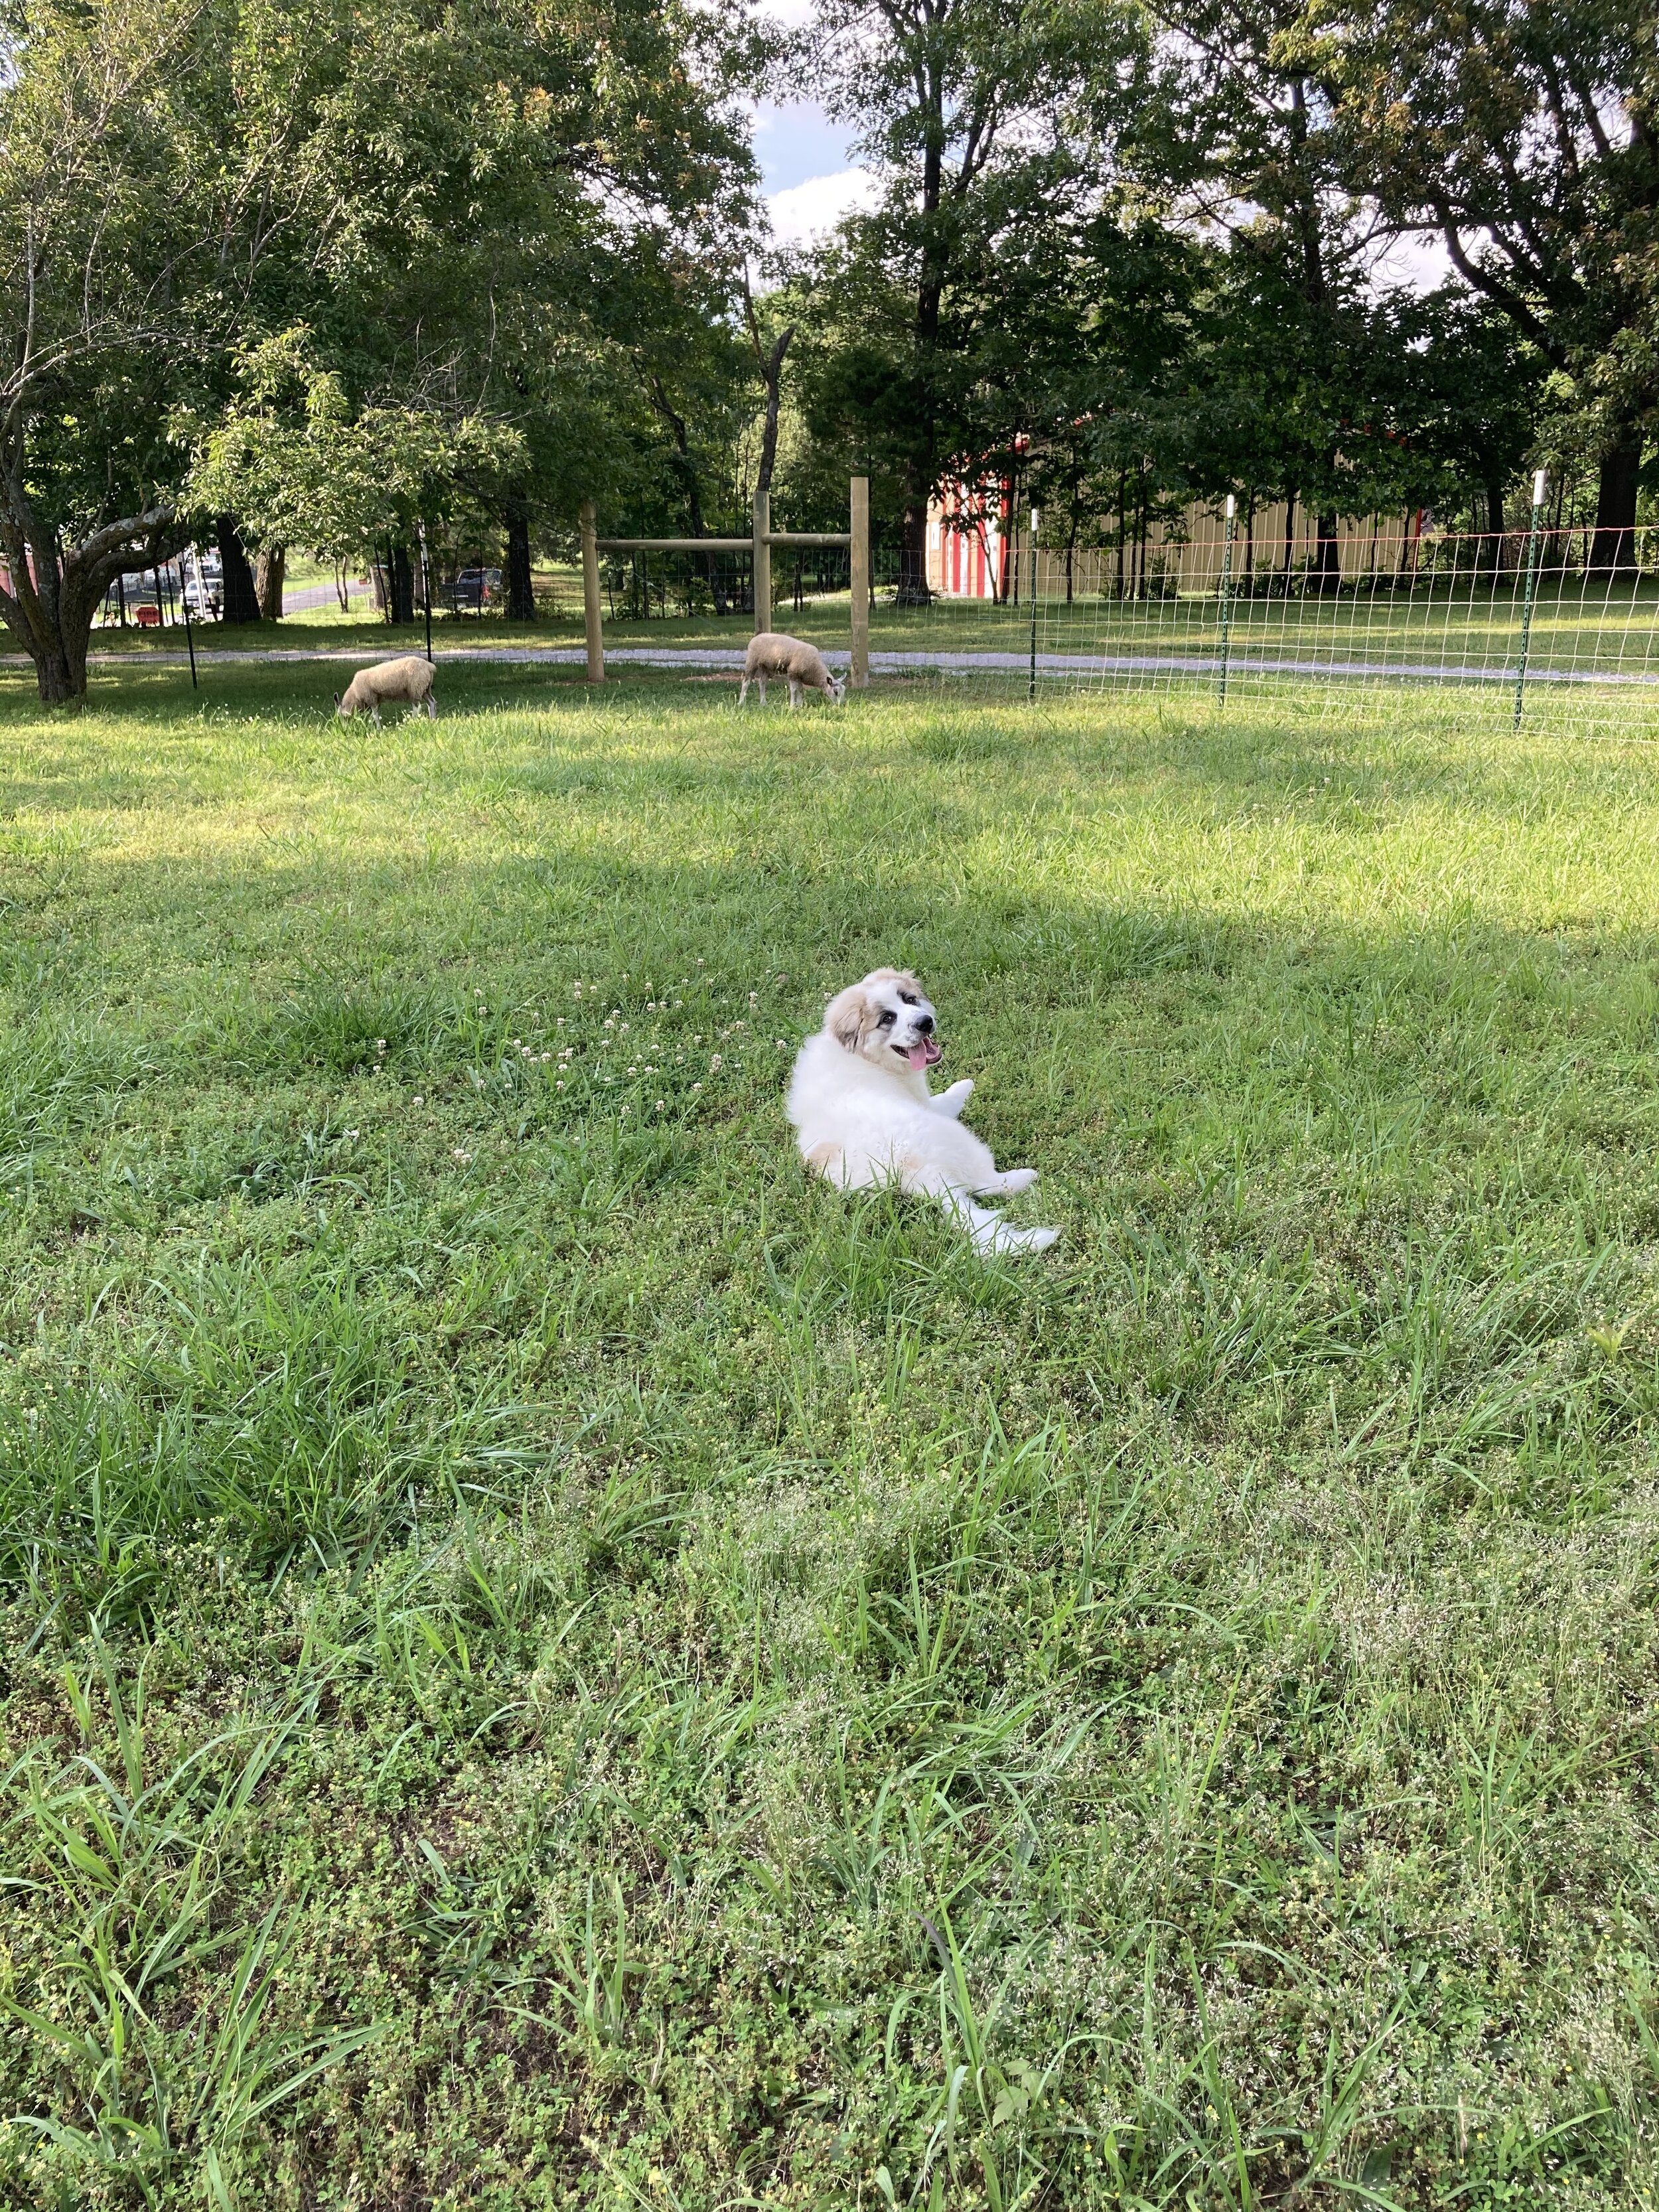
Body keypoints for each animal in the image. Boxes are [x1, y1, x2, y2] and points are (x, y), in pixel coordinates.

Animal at [334, 650, 438, 729]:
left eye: (343, 717)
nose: (344, 729)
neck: (355, 694)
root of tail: (429, 666)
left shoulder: (371, 698)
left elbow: (375, 716)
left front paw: (378, 729)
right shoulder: (377, 700)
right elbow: (374, 715)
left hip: (415, 688)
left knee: (417, 707)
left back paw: (411, 723)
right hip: (426, 689)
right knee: (432, 703)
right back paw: (433, 721)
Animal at [739, 632, 845, 707]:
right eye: (836, 692)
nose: (840, 706)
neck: (815, 669)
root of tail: (757, 636)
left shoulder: (800, 676)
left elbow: (801, 690)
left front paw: (800, 705)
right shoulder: (793, 673)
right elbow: (794, 690)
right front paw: (792, 706)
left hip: (767, 667)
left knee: (762, 683)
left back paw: (763, 702)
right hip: (752, 661)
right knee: (746, 682)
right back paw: (741, 702)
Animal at [787, 968, 1057, 1265]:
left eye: (909, 999)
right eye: (887, 1019)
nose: (925, 1023)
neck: (868, 1059)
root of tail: (914, 1172)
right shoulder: (924, 1103)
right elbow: (942, 1101)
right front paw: (964, 1087)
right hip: (957, 1139)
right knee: (986, 1183)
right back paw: (1025, 1176)